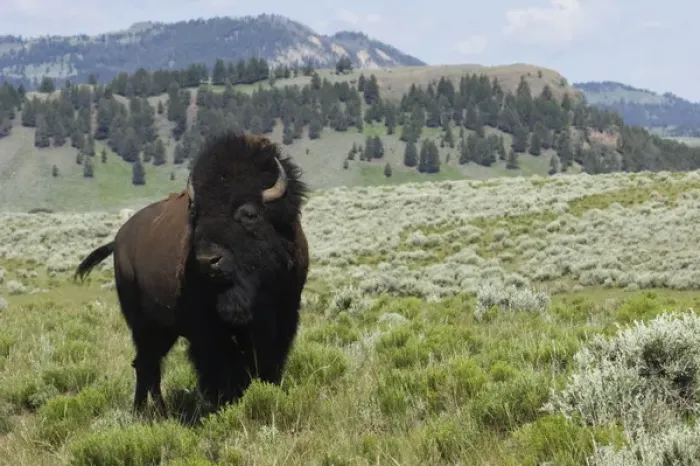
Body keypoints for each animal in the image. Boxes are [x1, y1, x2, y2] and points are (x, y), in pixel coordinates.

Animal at [73, 131, 310, 416]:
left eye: (249, 213)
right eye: (196, 214)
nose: (208, 260)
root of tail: (119, 239)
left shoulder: (284, 317)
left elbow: (267, 362)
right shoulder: (207, 331)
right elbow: (220, 367)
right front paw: (225, 403)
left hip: (163, 329)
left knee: (149, 364)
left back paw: (156, 412)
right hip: (141, 324)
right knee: (146, 363)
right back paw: (145, 412)